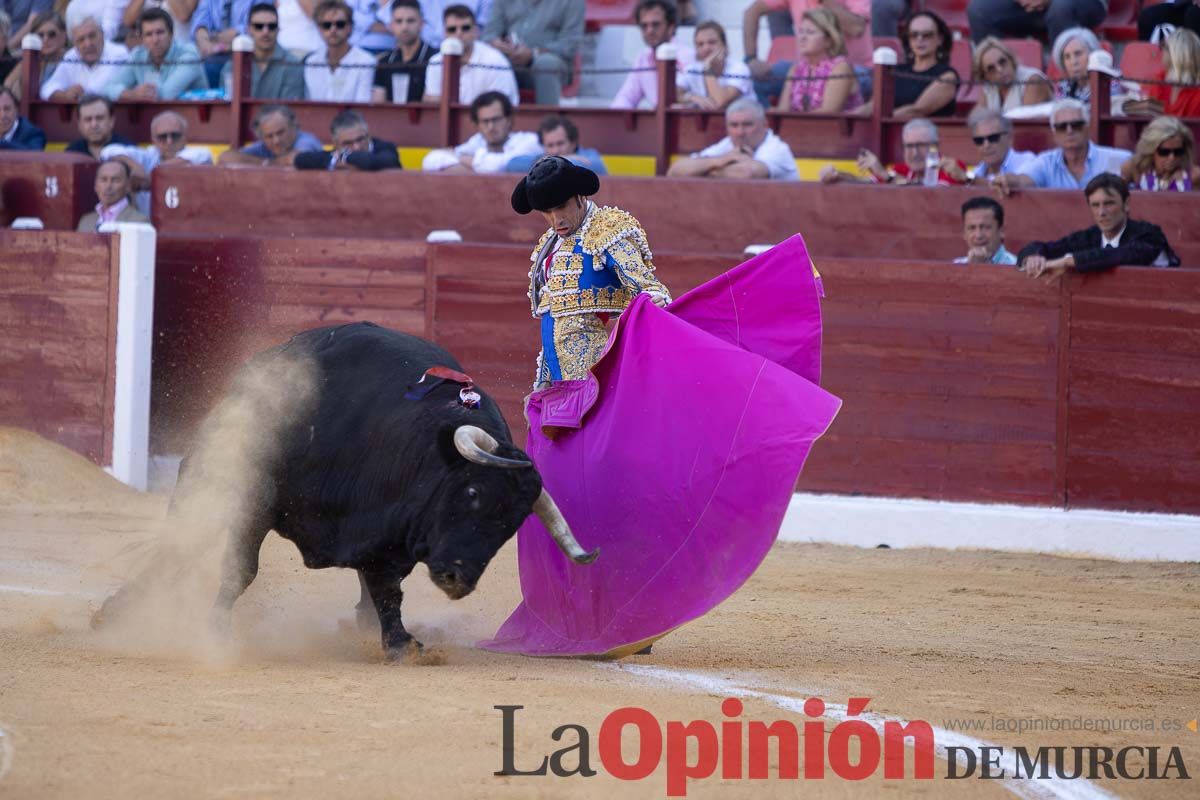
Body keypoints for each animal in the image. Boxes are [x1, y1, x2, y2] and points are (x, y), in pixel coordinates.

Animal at [102, 321, 595, 662]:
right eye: (472, 492)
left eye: (510, 526)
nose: (458, 580)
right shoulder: (257, 501)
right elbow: (241, 570)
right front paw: (217, 634)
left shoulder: (388, 535)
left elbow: (386, 589)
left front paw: (399, 643)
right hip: (210, 473)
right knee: (179, 540)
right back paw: (116, 609)